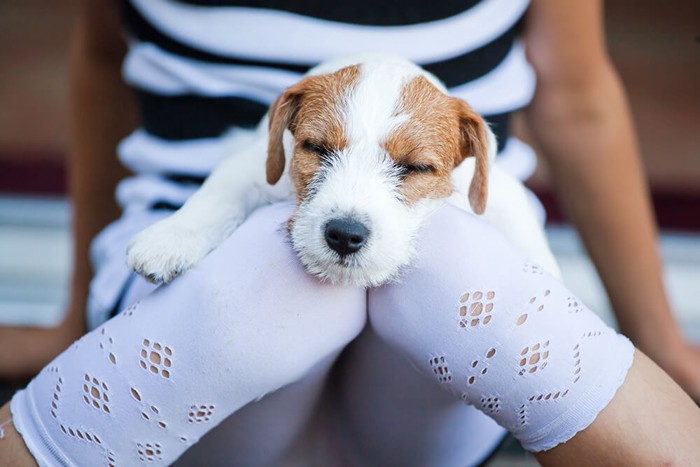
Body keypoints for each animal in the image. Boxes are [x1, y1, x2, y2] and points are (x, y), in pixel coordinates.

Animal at [127, 55, 564, 288]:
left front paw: (542, 271)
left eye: (417, 167)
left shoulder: (495, 189)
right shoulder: (256, 166)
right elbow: (218, 192)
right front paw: (170, 237)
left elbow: (517, 217)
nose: (344, 235)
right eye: (316, 148)